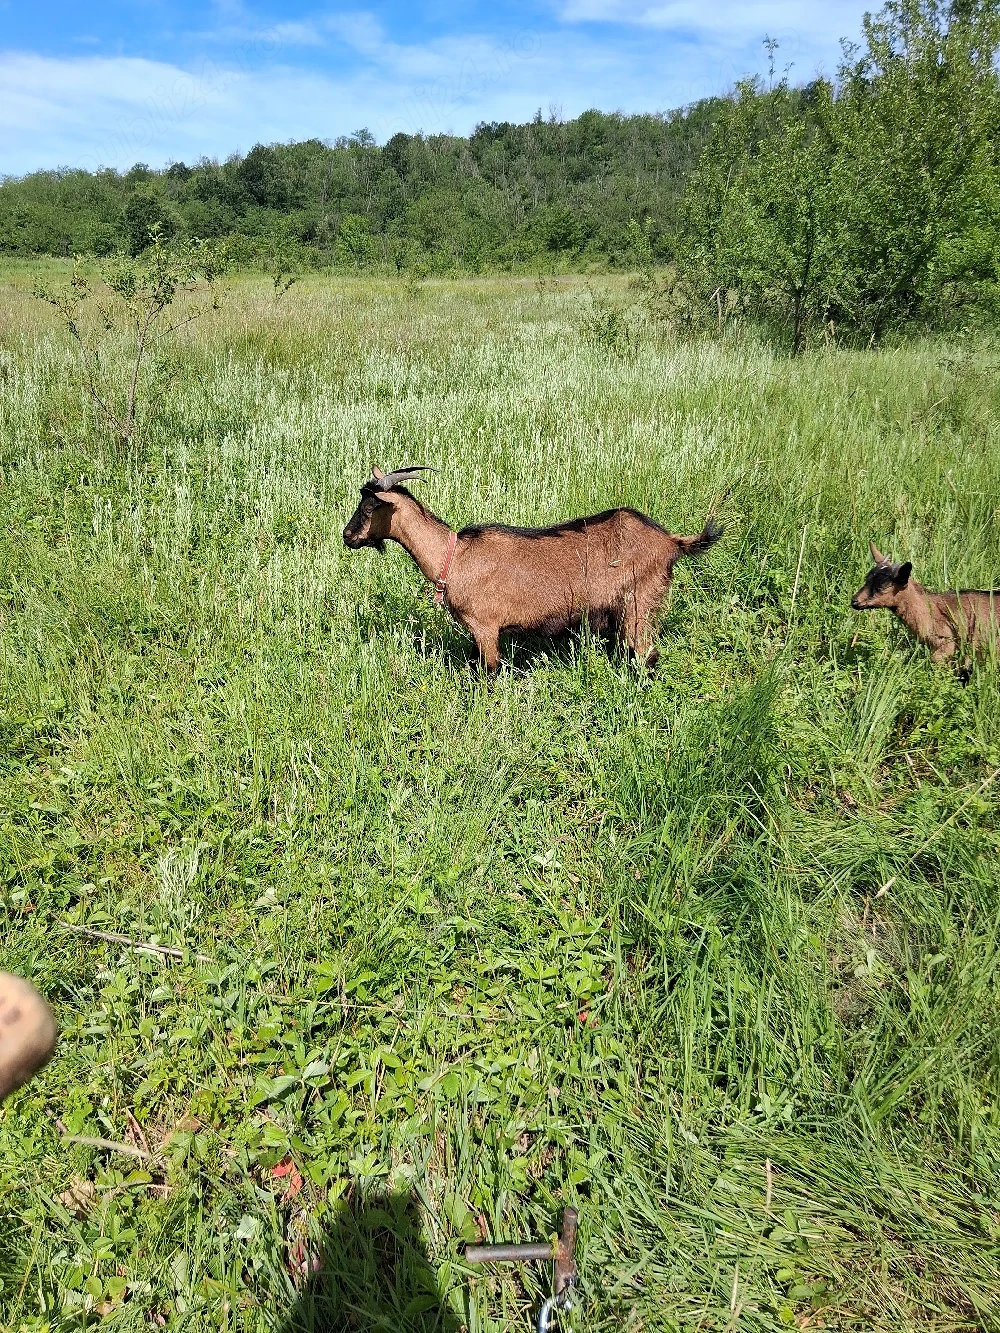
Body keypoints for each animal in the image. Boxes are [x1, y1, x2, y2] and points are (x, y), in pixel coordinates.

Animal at [343, 466, 722, 671]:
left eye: (369, 506)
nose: (347, 536)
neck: (454, 556)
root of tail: (670, 541)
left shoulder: (485, 627)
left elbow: (488, 673)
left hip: (640, 602)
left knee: (647, 656)